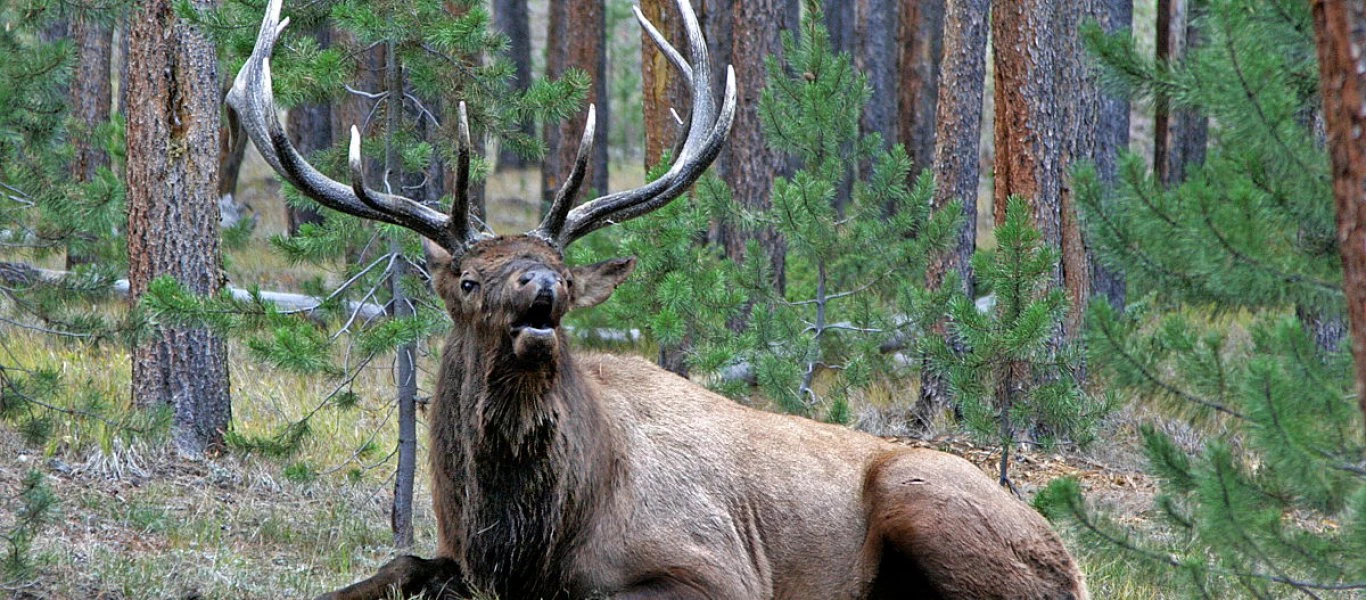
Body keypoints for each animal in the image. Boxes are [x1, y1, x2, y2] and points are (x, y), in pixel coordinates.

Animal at [232, 2, 1087, 598]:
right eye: (468, 279)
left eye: (562, 271)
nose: (542, 288)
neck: (522, 541)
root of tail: (1069, 558)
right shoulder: (452, 556)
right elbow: (394, 565)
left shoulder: (716, 569)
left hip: (928, 500)